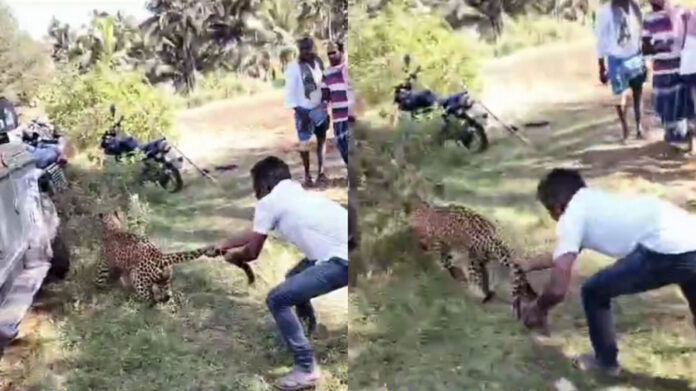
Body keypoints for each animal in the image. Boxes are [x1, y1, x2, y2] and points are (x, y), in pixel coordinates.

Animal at [97, 211, 256, 306]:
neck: (113, 227)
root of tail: (161, 257)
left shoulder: (104, 263)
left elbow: (101, 277)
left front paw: (100, 289)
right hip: (164, 281)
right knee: (167, 297)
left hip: (139, 280)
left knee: (151, 299)